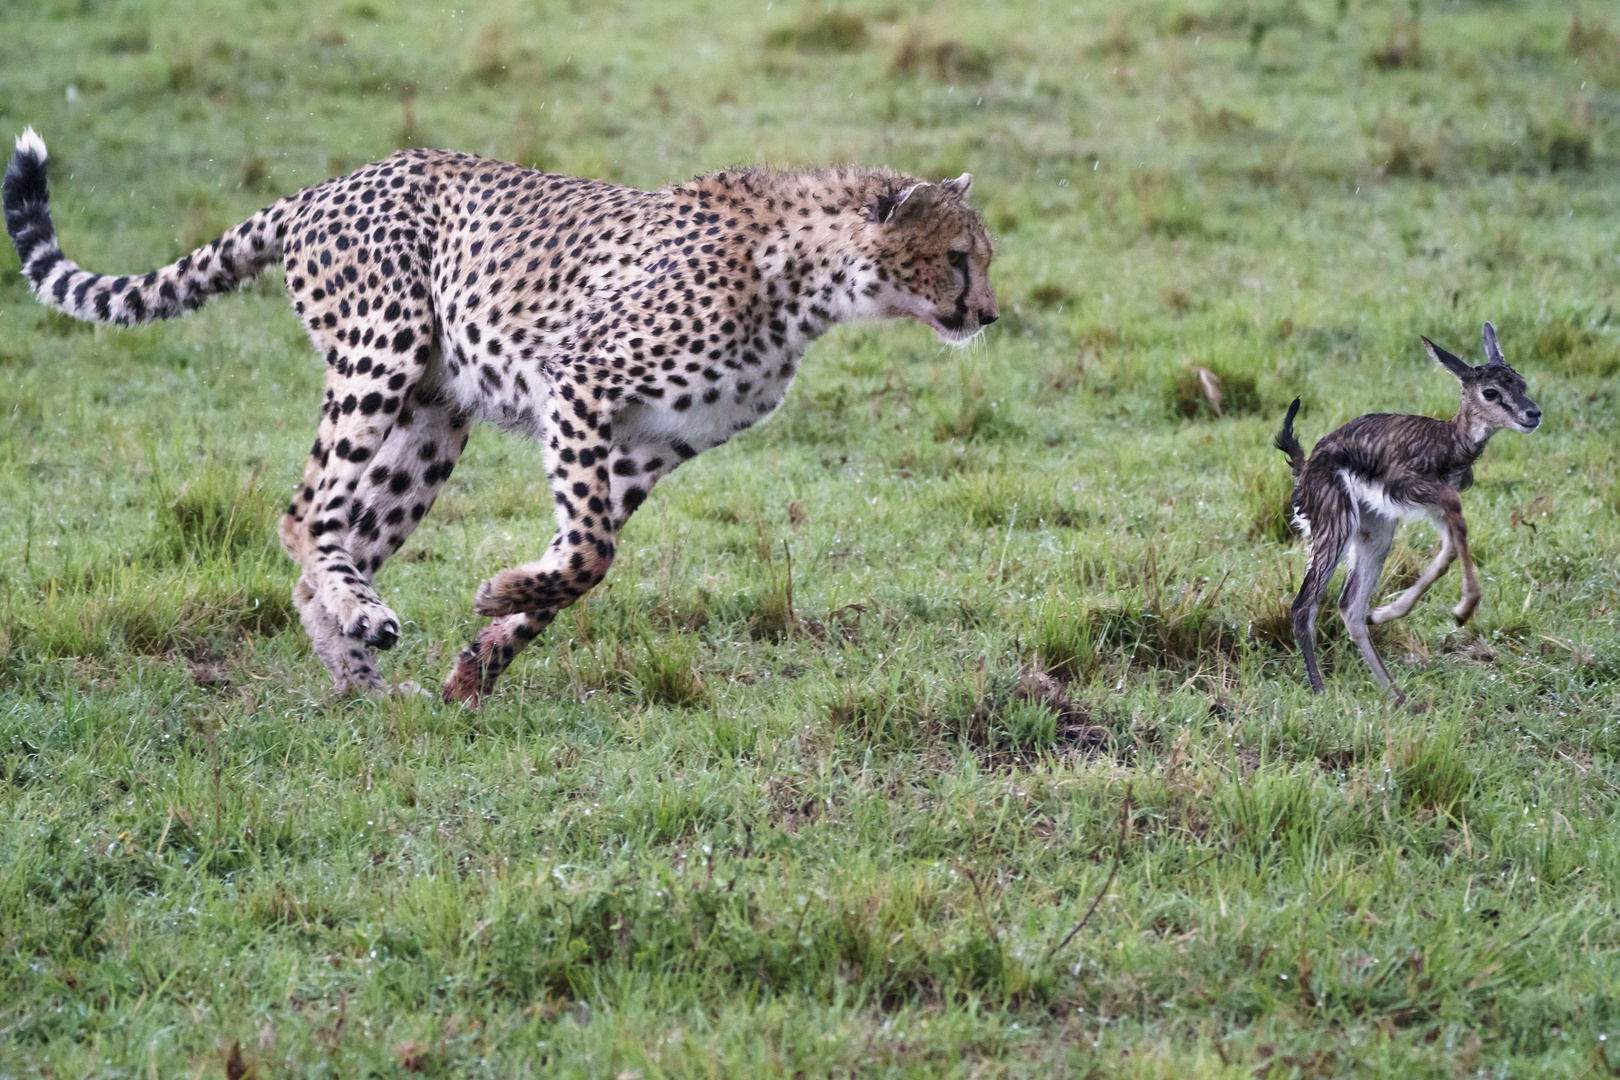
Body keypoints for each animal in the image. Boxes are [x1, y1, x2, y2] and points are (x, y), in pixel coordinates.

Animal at [6, 128, 997, 702]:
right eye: (958, 257)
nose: (988, 315)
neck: (811, 282)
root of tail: (337, 180)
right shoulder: (582, 380)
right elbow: (592, 552)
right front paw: (494, 601)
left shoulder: (648, 446)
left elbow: (577, 563)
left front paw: (484, 652)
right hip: (383, 348)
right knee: (304, 512)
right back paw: (363, 623)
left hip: (432, 419)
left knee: (336, 542)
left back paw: (364, 674)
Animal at [1270, 320, 1535, 705]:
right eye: (1491, 391)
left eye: (1521, 383)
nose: (1533, 414)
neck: (1448, 444)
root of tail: (1303, 467)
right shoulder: (1413, 488)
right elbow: (1457, 521)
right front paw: (1464, 610)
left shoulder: (1434, 507)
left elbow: (1450, 547)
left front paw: (1385, 613)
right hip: (1336, 527)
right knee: (1304, 604)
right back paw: (1322, 692)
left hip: (1376, 533)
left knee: (1349, 607)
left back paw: (1400, 697)